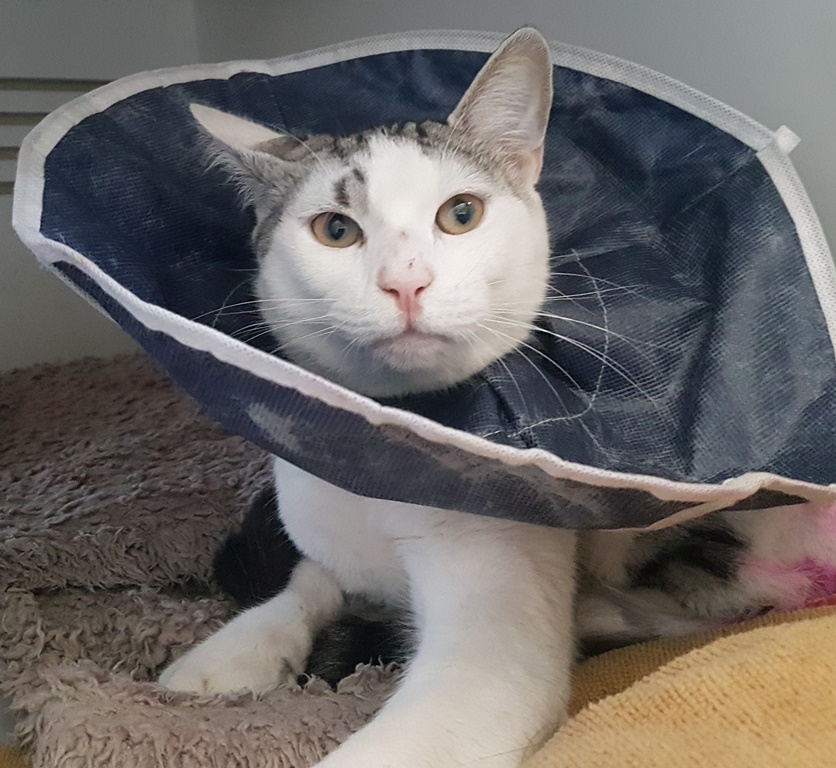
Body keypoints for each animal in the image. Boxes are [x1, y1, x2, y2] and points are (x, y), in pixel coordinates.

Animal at [159, 26, 836, 767]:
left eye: (461, 214)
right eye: (335, 230)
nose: (406, 282)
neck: (379, 455)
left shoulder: (492, 650)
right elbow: (308, 579)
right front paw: (235, 650)